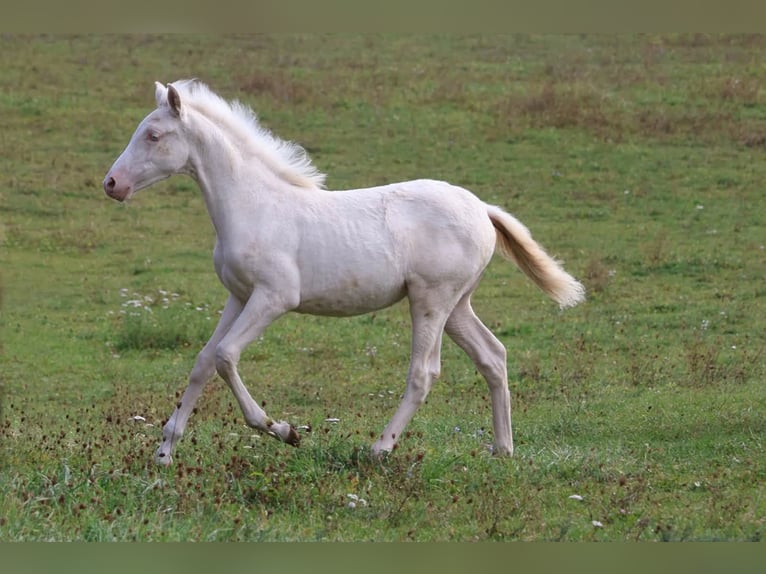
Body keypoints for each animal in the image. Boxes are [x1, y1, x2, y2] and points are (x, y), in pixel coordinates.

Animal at [103, 80, 585, 465]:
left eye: (154, 135)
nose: (112, 183)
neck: (253, 205)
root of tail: (482, 209)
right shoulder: (238, 296)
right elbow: (203, 362)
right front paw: (165, 451)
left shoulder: (274, 298)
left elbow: (225, 356)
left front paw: (284, 431)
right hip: (457, 305)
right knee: (493, 356)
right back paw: (502, 449)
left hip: (431, 300)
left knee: (423, 373)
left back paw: (380, 449)